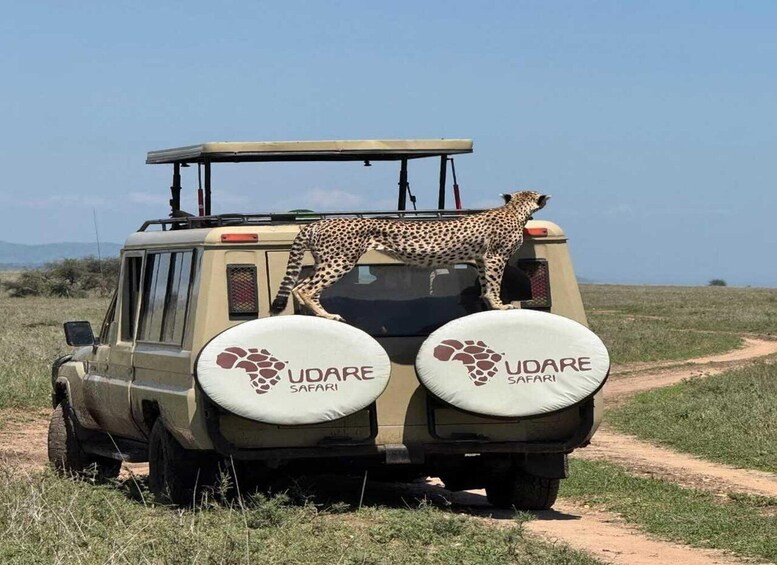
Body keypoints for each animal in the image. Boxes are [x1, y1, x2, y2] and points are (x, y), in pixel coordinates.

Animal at [270, 190, 550, 321]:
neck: (514, 208)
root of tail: (316, 222)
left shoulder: (482, 260)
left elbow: (484, 285)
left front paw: (490, 305)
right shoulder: (495, 257)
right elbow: (494, 284)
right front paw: (500, 305)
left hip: (325, 260)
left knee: (300, 285)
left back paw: (316, 314)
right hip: (340, 261)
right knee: (306, 287)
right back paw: (326, 315)